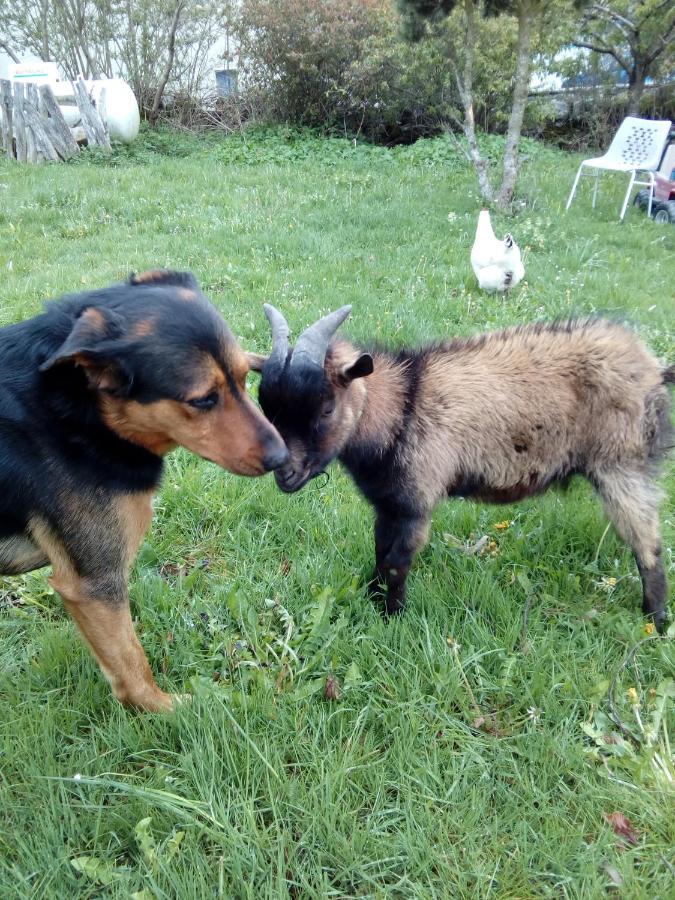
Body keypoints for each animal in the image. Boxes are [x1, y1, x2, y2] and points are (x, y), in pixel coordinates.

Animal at [0, 268, 288, 712]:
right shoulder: (93, 585)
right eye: (203, 400)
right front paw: (171, 711)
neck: (82, 412)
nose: (283, 457)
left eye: (243, 378)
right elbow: (132, 667)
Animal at [255, 310, 675, 632]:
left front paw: (391, 619)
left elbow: (396, 563)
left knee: (648, 544)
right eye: (267, 407)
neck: (404, 407)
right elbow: (380, 552)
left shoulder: (417, 502)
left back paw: (655, 621)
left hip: (622, 465)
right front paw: (371, 601)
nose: (284, 474)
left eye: (326, 409)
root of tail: (652, 367)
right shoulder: (388, 503)